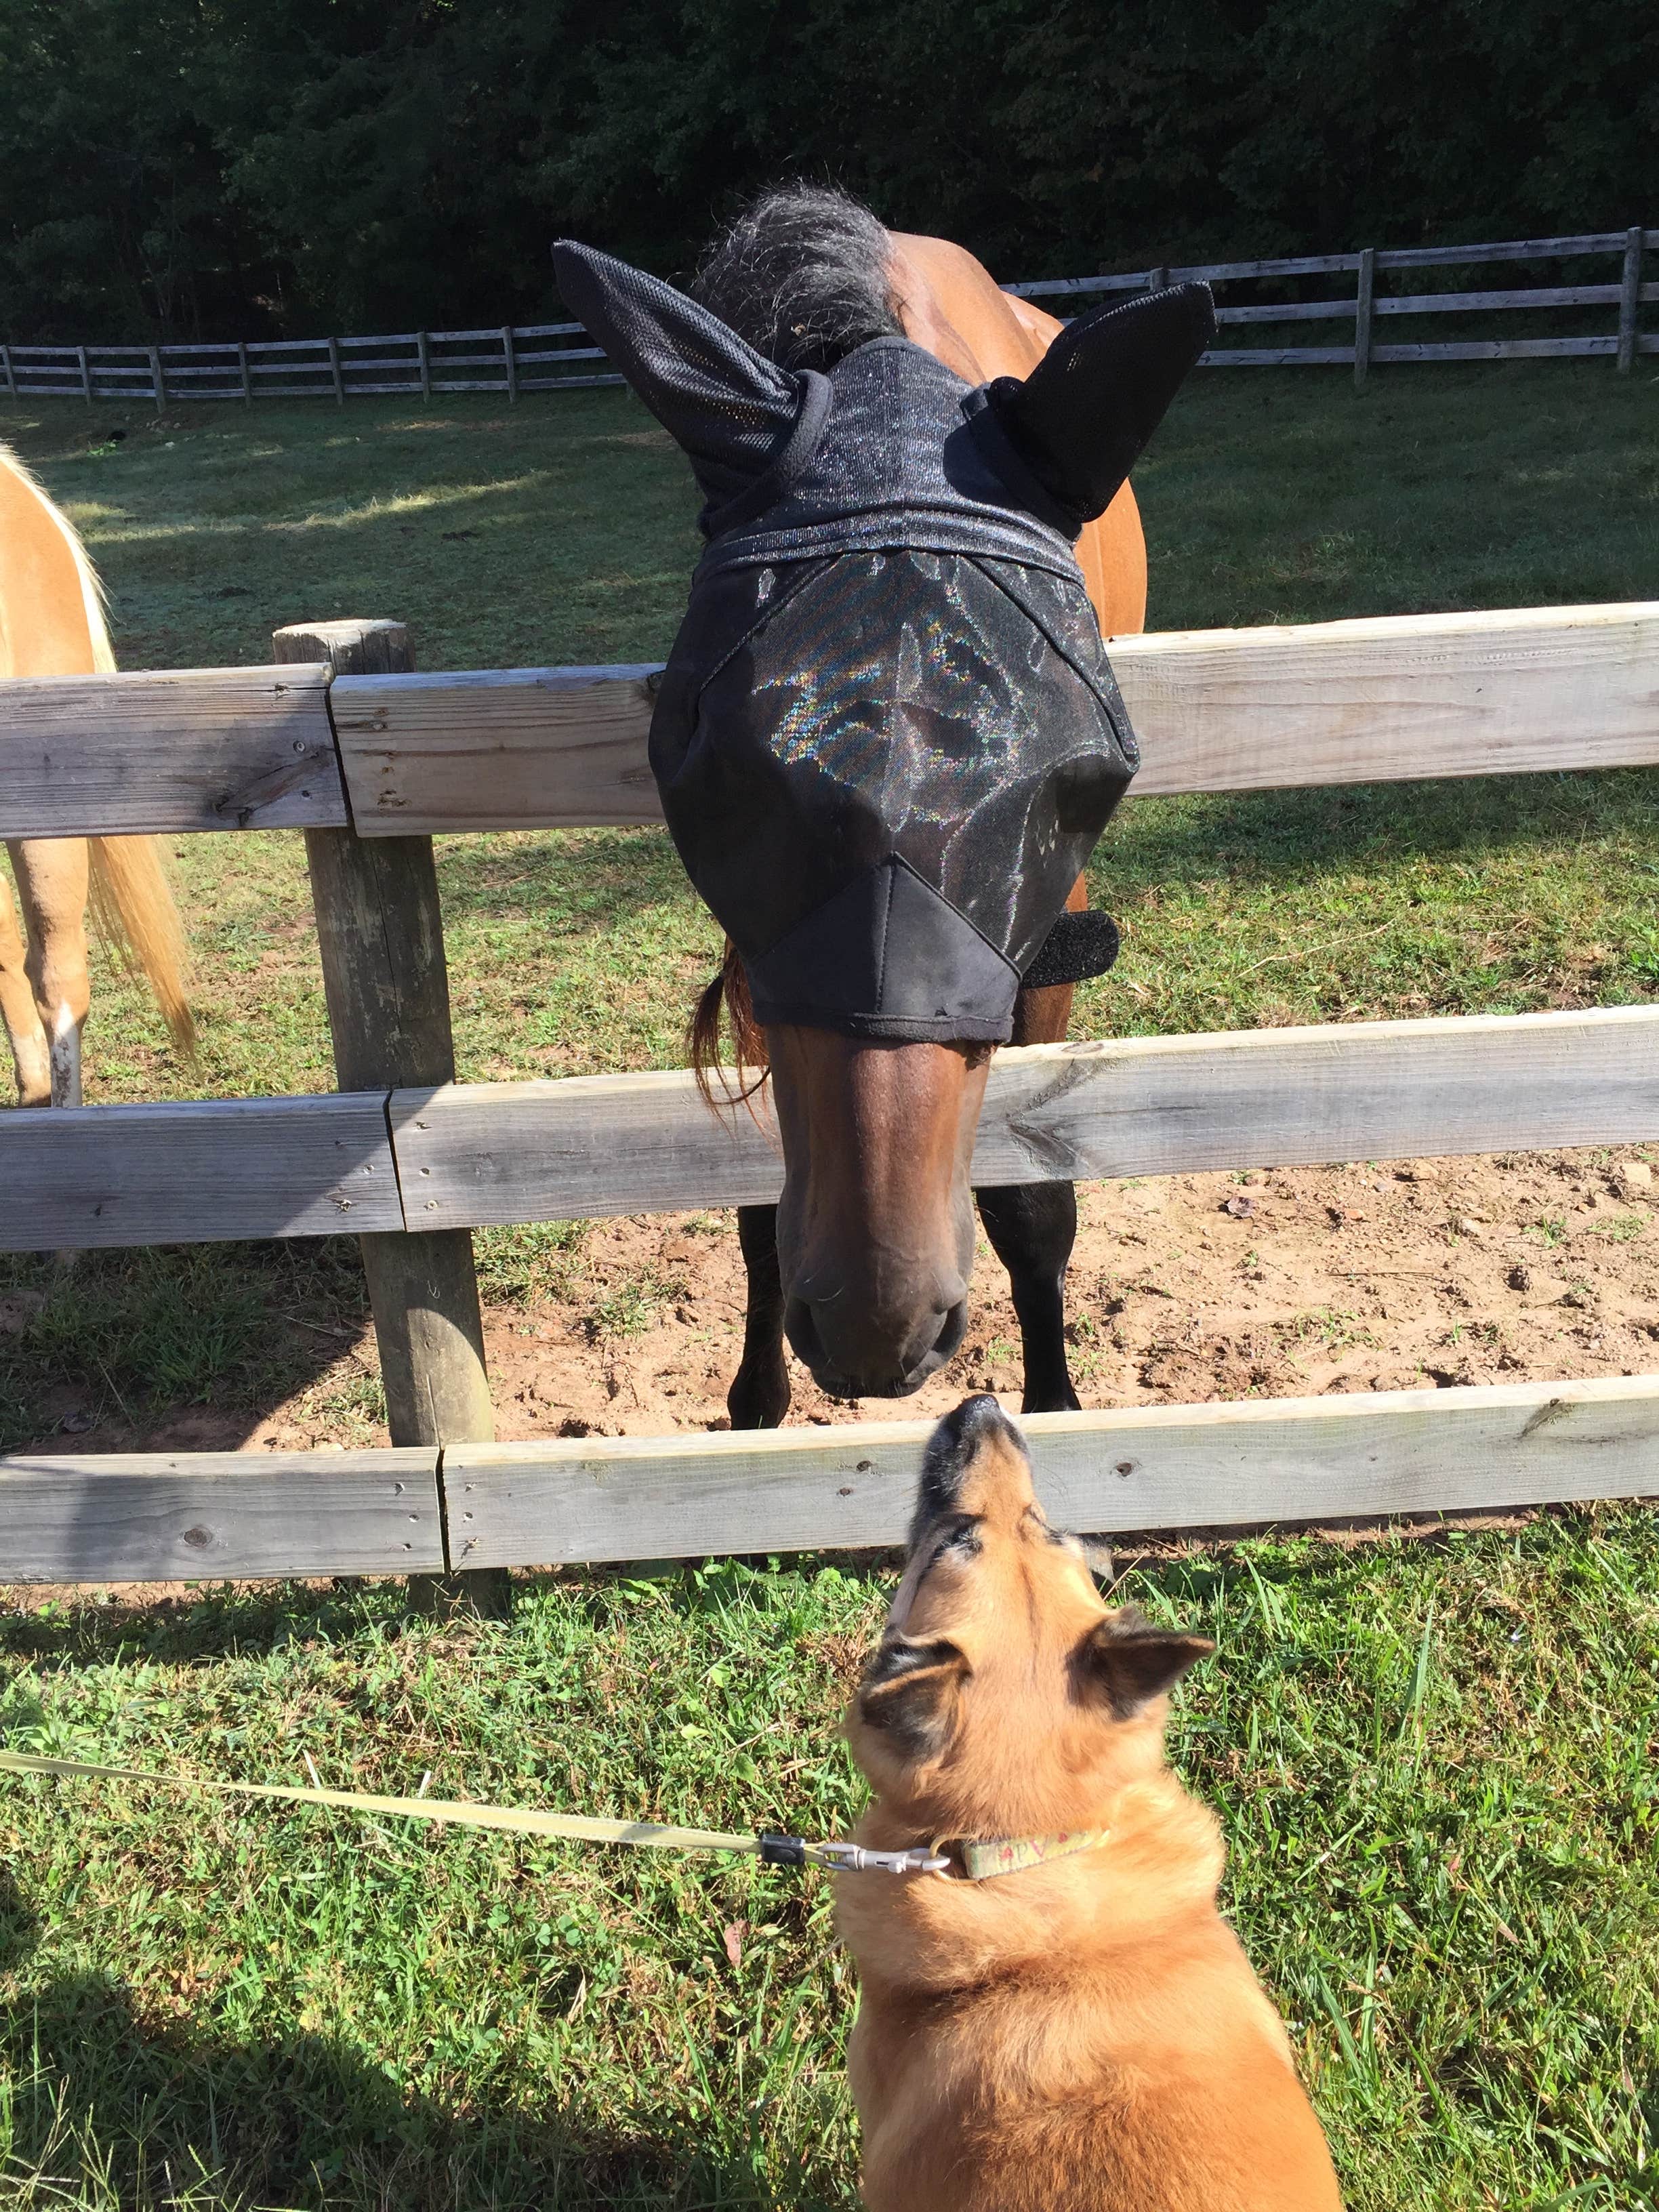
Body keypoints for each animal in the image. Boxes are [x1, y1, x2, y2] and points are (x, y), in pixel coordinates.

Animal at [555, 188, 1211, 1425]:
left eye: (1078, 787)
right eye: (721, 779)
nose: (876, 1323)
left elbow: (1030, 1205)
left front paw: (1051, 1404)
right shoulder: (763, 947)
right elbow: (762, 1200)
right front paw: (755, 1393)